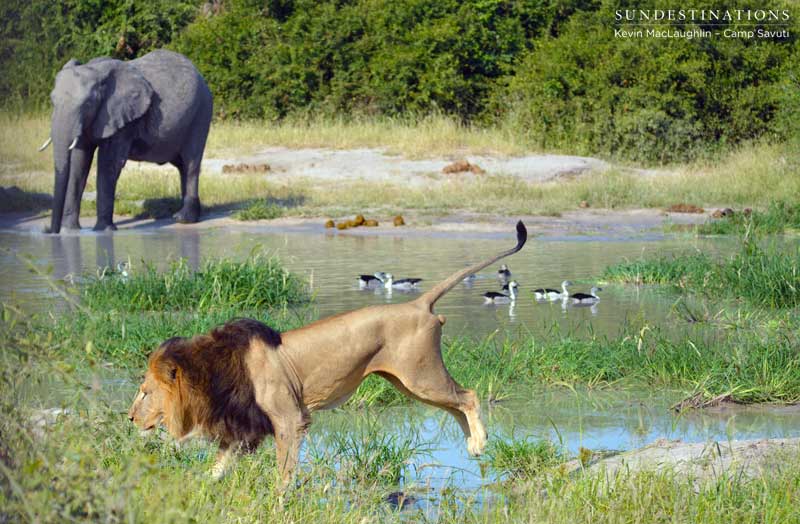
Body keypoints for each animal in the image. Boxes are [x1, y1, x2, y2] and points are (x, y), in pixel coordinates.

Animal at [129, 221, 527, 481]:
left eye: (145, 392)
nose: (129, 418)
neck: (213, 374)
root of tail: (417, 303)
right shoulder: (244, 427)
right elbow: (216, 468)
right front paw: (199, 492)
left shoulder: (289, 419)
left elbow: (284, 473)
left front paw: (279, 504)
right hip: (409, 381)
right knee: (456, 403)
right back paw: (474, 444)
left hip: (421, 376)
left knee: (469, 396)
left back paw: (479, 440)